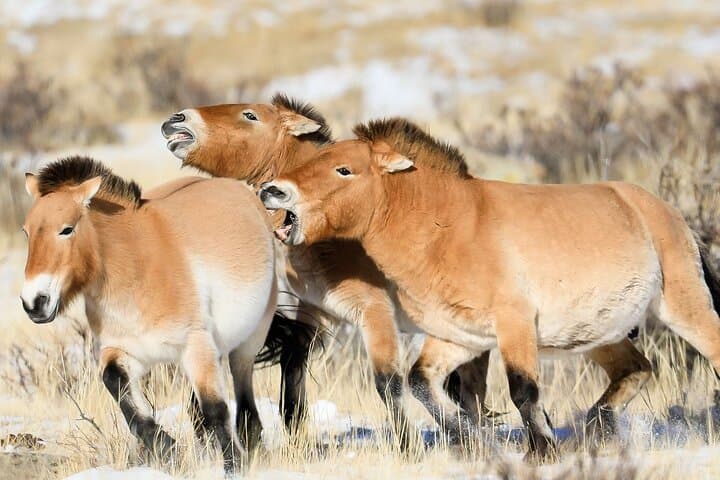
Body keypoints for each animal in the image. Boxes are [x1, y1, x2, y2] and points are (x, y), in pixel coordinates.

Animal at [20, 156, 293, 473]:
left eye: (66, 229)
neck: (138, 268)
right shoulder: (123, 351)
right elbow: (119, 390)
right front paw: (167, 448)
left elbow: (216, 409)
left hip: (248, 341)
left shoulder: (195, 345)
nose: (34, 302)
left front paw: (233, 465)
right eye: (26, 231)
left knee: (243, 395)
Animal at [159, 95, 496, 447]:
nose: (177, 119)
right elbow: (292, 372)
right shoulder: (308, 312)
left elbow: (387, 382)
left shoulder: (374, 313)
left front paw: (407, 445)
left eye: (250, 115)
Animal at [259, 118, 720, 461]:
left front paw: (542, 451)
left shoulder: (514, 327)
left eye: (344, 169)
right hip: (598, 333)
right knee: (636, 368)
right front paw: (476, 440)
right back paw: (595, 427)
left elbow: (523, 391)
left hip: (683, 307)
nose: (273, 191)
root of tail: (668, 212)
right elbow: (424, 384)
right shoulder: (459, 337)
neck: (448, 228)